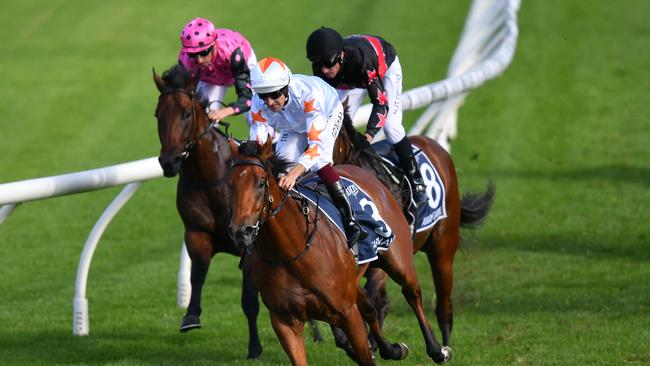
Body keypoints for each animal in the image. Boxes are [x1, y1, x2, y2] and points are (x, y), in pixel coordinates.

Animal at [153, 64, 264, 358]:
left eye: (186, 113)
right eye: (158, 114)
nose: (169, 162)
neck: (211, 179)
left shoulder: (249, 245)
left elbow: (250, 300)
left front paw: (255, 348)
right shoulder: (197, 233)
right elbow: (198, 275)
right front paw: (190, 316)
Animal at [230, 139, 454, 364]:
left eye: (260, 183)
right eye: (230, 183)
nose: (240, 231)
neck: (290, 254)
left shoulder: (347, 313)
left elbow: (365, 355)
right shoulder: (284, 321)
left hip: (400, 261)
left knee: (412, 293)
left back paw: (437, 349)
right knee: (370, 306)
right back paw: (392, 349)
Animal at [332, 112, 494, 358]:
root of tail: (433, 144)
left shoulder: (386, 257)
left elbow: (371, 297)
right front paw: (359, 342)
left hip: (442, 249)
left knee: (443, 304)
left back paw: (444, 346)